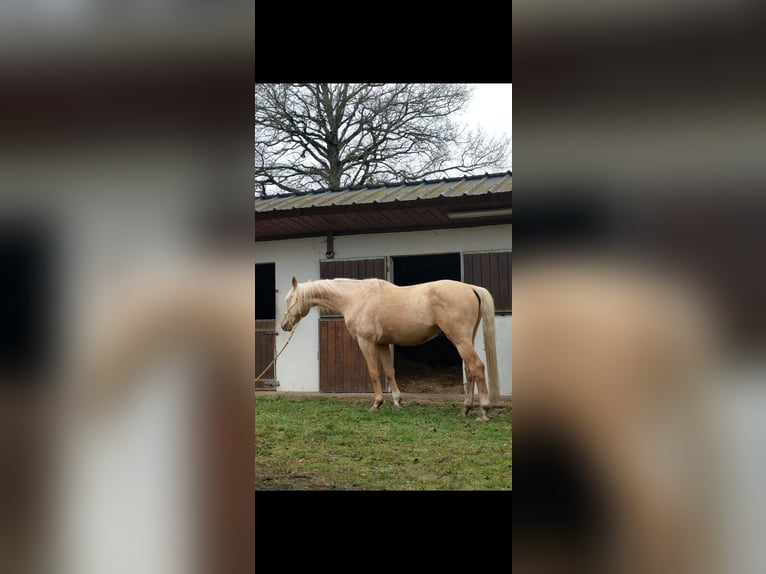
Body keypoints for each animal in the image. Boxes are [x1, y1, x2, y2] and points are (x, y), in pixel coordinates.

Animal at [282, 276, 504, 420]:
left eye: (289, 299)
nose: (284, 326)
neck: (355, 297)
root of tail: (471, 288)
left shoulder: (366, 341)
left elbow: (373, 372)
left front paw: (376, 404)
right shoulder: (382, 344)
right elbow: (389, 371)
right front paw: (397, 402)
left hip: (460, 339)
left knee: (477, 367)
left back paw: (483, 411)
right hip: (465, 339)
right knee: (470, 370)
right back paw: (466, 409)